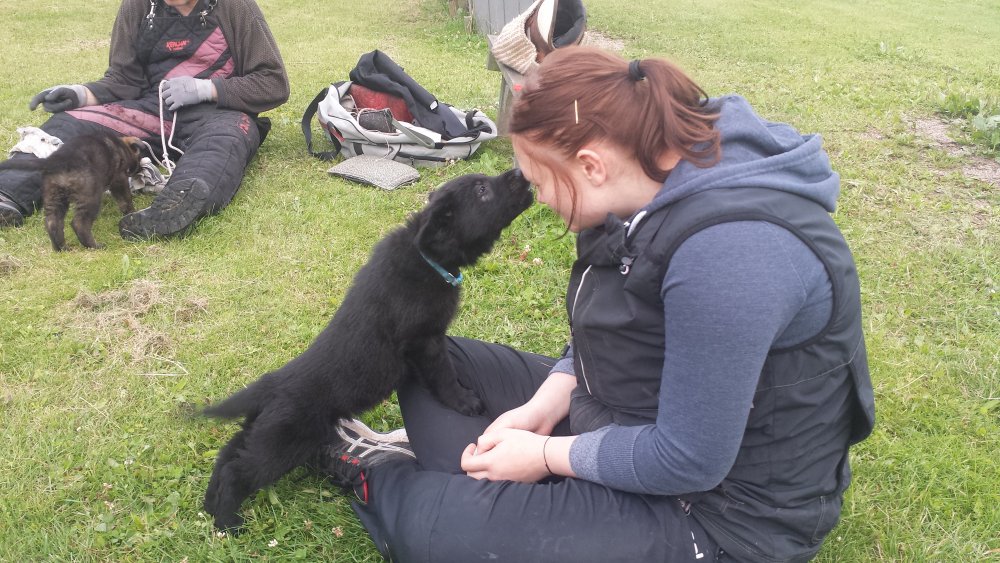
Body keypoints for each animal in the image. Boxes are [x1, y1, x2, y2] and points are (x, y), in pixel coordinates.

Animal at [0, 131, 141, 251]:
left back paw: (61, 248)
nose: (138, 170)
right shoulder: (119, 178)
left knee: (52, 222)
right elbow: (125, 199)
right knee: (79, 223)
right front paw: (131, 212)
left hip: (54, 196)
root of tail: (55, 161)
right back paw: (94, 246)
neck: (121, 147)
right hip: (90, 195)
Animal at [202, 169, 534, 531]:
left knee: (226, 458)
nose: (521, 172)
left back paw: (210, 507)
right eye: (482, 190)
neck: (426, 257)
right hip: (283, 443)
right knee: (237, 471)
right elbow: (443, 375)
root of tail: (269, 385)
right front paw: (464, 401)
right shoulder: (426, 341)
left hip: (260, 433)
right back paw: (228, 521)